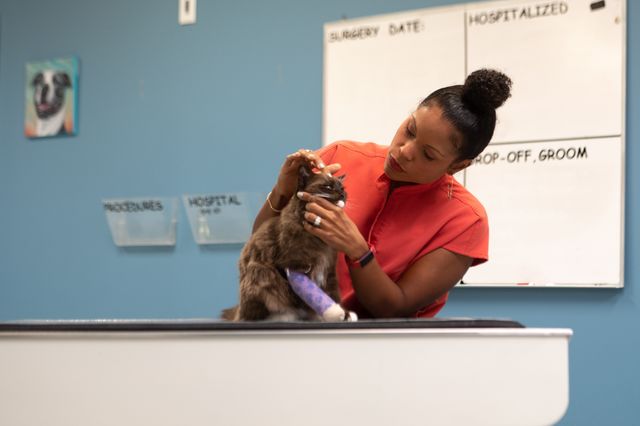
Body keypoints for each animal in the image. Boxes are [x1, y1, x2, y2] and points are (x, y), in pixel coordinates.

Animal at [222, 165, 347, 321]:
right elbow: (306, 301)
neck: (316, 235)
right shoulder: (295, 268)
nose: (342, 194)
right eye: (328, 187)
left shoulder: (328, 271)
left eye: (342, 188)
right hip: (261, 274)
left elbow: (333, 296)